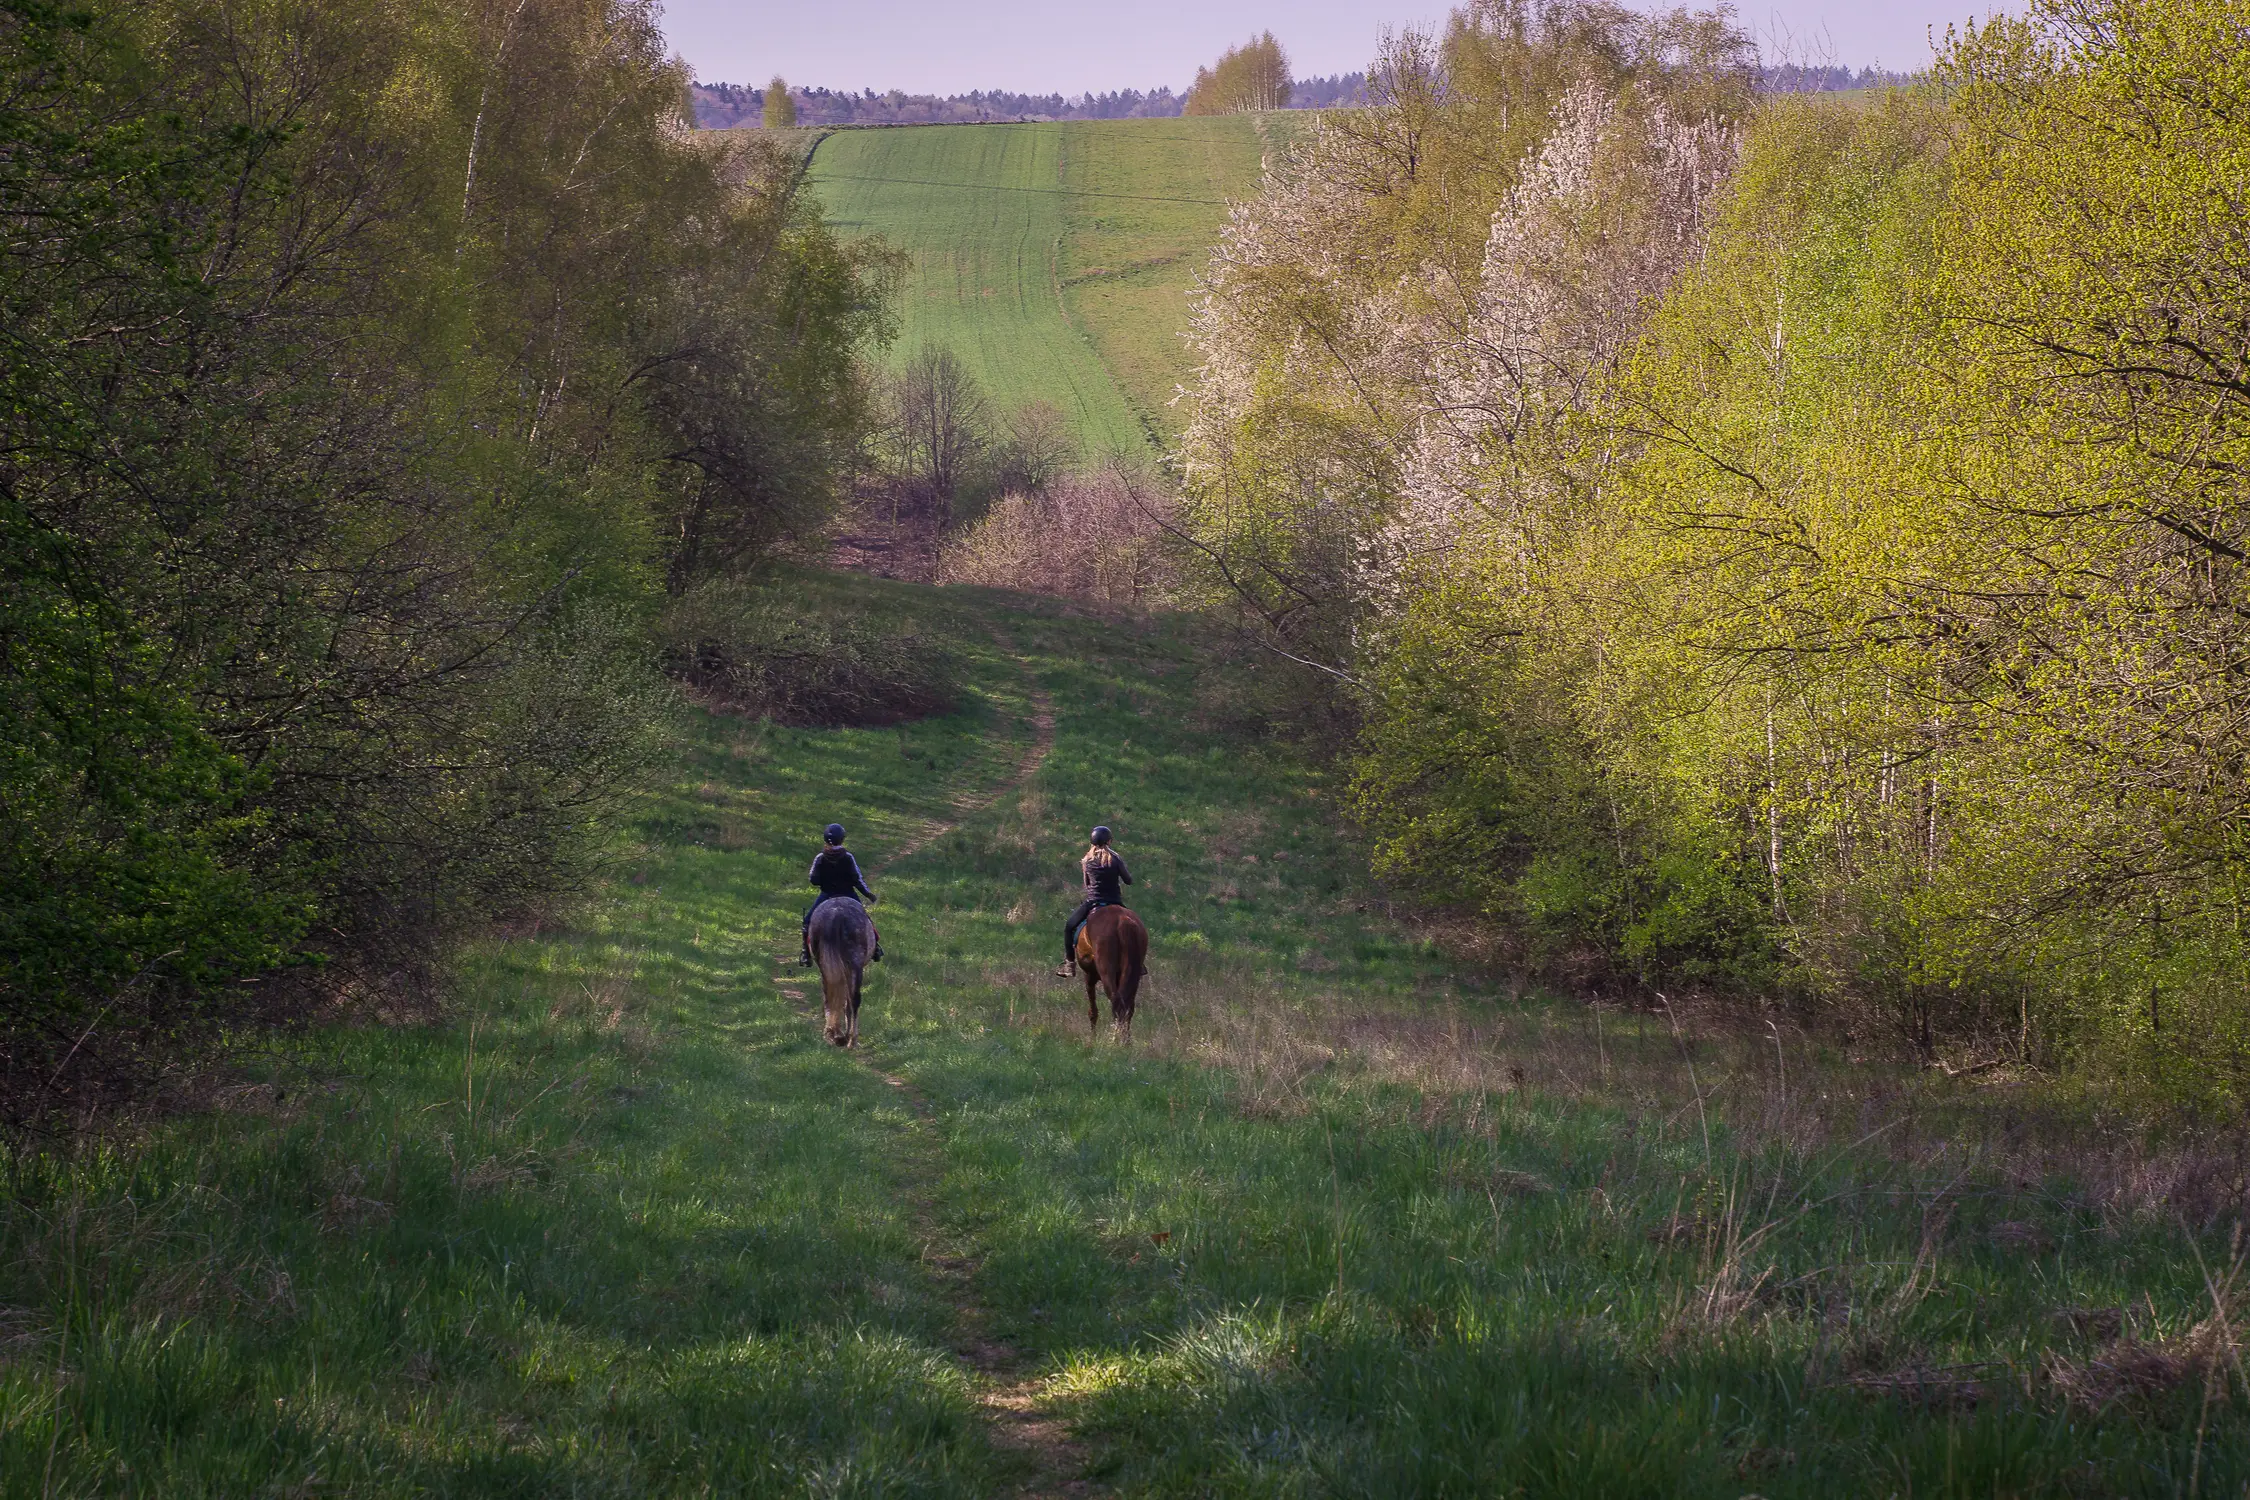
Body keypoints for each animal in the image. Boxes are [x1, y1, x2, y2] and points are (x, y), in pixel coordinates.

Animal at [810, 899, 877, 1052]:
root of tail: (837, 915)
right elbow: (847, 1002)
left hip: (829, 968)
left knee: (830, 996)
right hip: (854, 965)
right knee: (854, 999)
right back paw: (851, 1039)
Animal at [1071, 908, 1143, 1038]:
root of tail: (1122, 921)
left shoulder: (1089, 976)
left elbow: (1093, 1010)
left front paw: (1093, 1038)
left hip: (1106, 973)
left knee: (1116, 1002)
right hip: (1133, 976)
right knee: (1128, 1006)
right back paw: (1125, 1038)